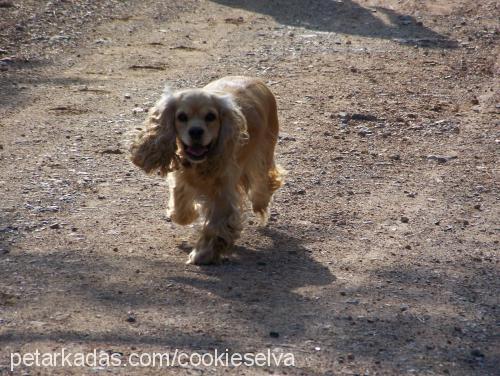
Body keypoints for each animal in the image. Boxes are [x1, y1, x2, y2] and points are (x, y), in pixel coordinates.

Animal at [129, 76, 284, 264]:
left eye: (211, 116)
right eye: (181, 117)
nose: (196, 131)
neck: (200, 164)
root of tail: (254, 79)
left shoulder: (222, 193)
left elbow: (215, 226)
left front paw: (203, 254)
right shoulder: (181, 179)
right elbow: (180, 209)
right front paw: (188, 215)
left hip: (263, 152)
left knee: (264, 182)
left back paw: (260, 203)